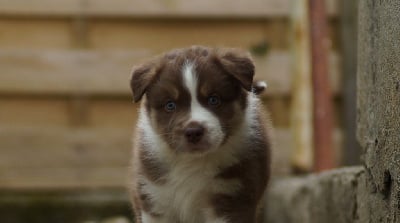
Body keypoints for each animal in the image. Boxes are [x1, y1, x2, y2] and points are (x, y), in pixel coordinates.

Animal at [130, 45, 270, 223]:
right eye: (170, 105)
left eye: (213, 99)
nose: (193, 132)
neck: (192, 161)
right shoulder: (155, 197)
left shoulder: (232, 197)